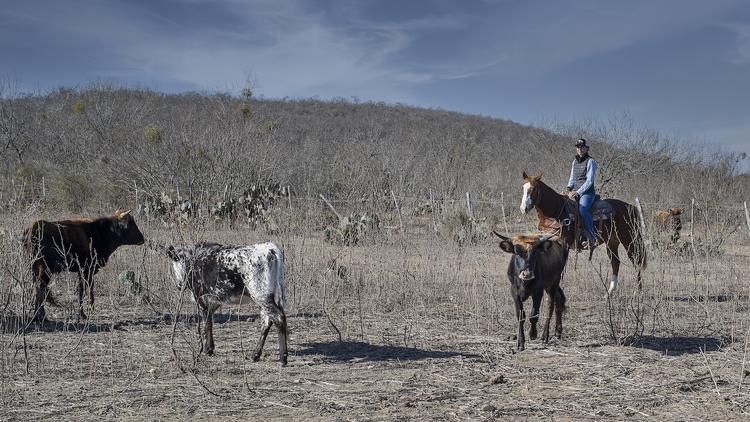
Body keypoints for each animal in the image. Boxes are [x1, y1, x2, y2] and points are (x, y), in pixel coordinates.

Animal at [156, 241, 290, 366]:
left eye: (175, 260)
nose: (179, 285)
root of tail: (269, 247)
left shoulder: (201, 297)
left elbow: (206, 323)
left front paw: (207, 350)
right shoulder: (215, 300)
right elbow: (210, 320)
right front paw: (210, 348)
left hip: (261, 296)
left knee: (278, 318)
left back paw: (283, 358)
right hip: (266, 298)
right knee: (267, 321)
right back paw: (255, 355)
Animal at [520, 171, 648, 294]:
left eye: (534, 189)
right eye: (523, 188)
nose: (523, 208)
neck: (556, 211)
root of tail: (630, 207)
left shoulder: (565, 244)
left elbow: (561, 268)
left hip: (629, 239)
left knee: (636, 261)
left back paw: (637, 291)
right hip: (612, 242)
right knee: (615, 262)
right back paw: (609, 292)